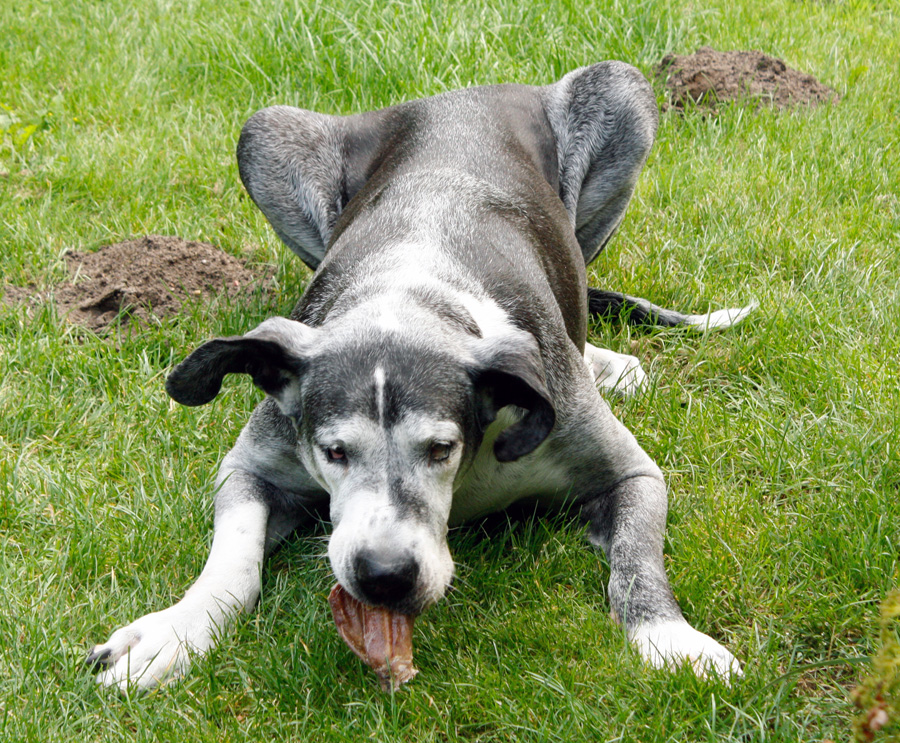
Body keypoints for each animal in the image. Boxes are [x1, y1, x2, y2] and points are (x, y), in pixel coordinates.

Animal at [89, 62, 752, 692]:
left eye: (440, 449)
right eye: (334, 452)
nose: (385, 575)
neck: (407, 295)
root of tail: (457, 95)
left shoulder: (629, 473)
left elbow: (639, 561)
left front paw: (670, 637)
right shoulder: (252, 465)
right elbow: (231, 559)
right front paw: (175, 630)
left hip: (622, 94)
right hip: (264, 133)